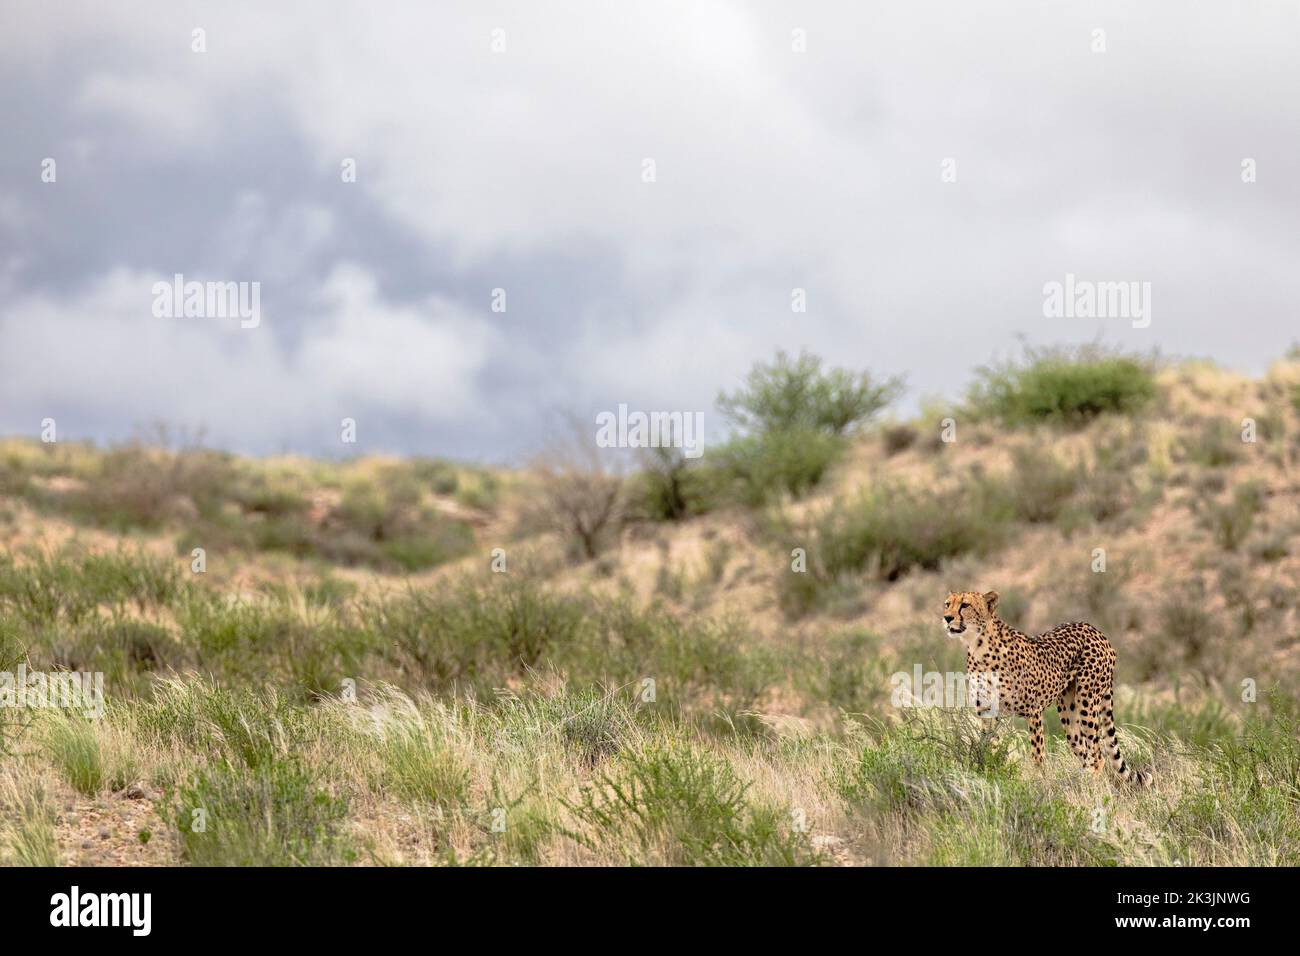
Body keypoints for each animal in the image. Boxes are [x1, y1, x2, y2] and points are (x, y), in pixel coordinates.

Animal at [946, 590, 1149, 785]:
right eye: (947, 604)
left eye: (965, 605)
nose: (947, 618)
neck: (978, 646)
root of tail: (1095, 630)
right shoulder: (987, 710)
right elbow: (991, 747)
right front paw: (991, 772)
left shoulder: (1033, 710)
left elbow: (1037, 753)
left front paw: (1039, 781)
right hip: (1069, 715)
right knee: (1085, 751)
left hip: (1087, 701)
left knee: (1098, 755)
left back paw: (1089, 784)